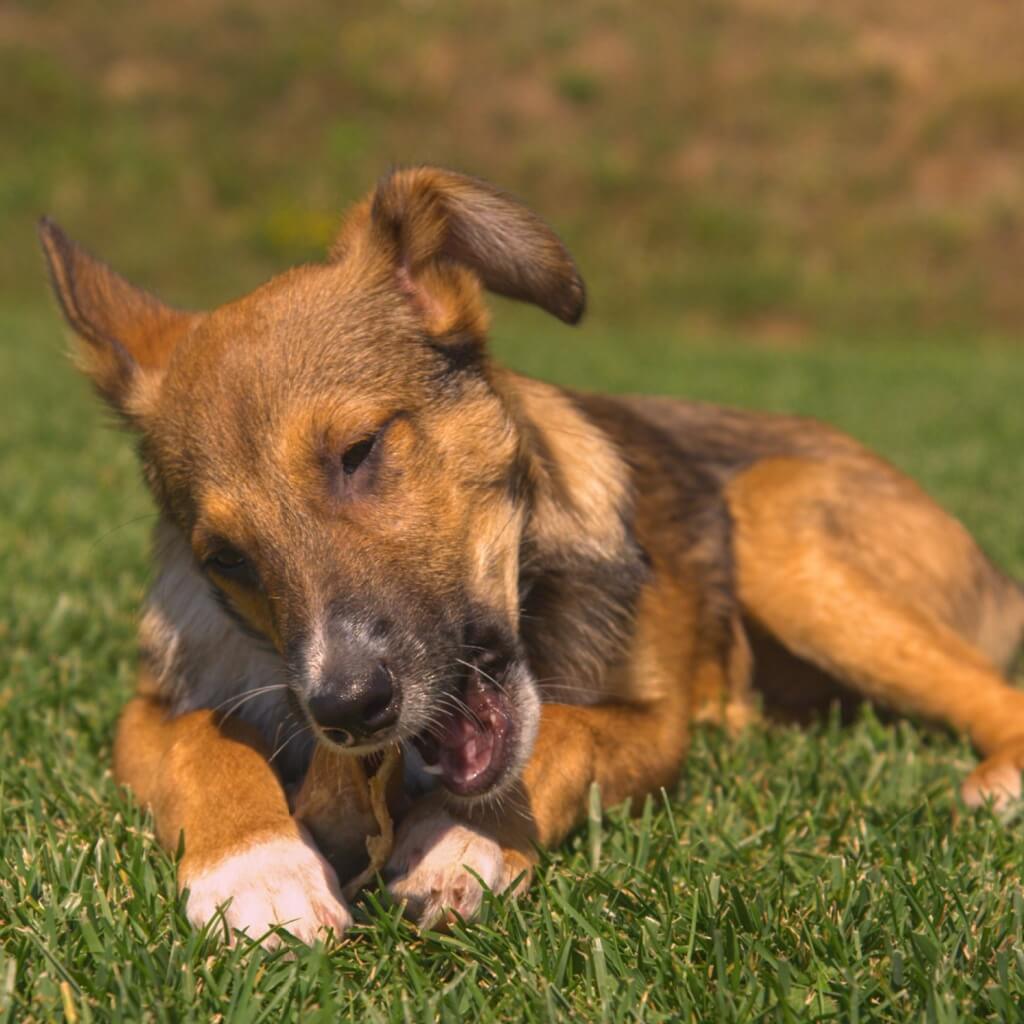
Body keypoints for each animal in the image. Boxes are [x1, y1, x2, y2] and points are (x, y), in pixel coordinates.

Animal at [39, 165, 1024, 942]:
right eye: (226, 558)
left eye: (359, 451)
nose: (346, 712)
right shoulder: (153, 706)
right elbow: (205, 745)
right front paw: (259, 873)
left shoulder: (648, 724)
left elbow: (564, 734)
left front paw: (462, 843)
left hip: (777, 519)